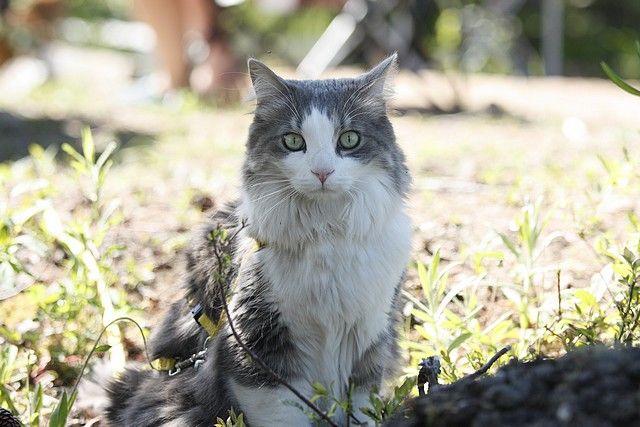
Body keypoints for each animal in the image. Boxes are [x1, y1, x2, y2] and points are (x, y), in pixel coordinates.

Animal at [101, 54, 410, 427]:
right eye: (293, 141)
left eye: (349, 139)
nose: (322, 172)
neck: (326, 232)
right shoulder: (258, 345)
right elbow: (285, 414)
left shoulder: (369, 342)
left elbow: (361, 408)